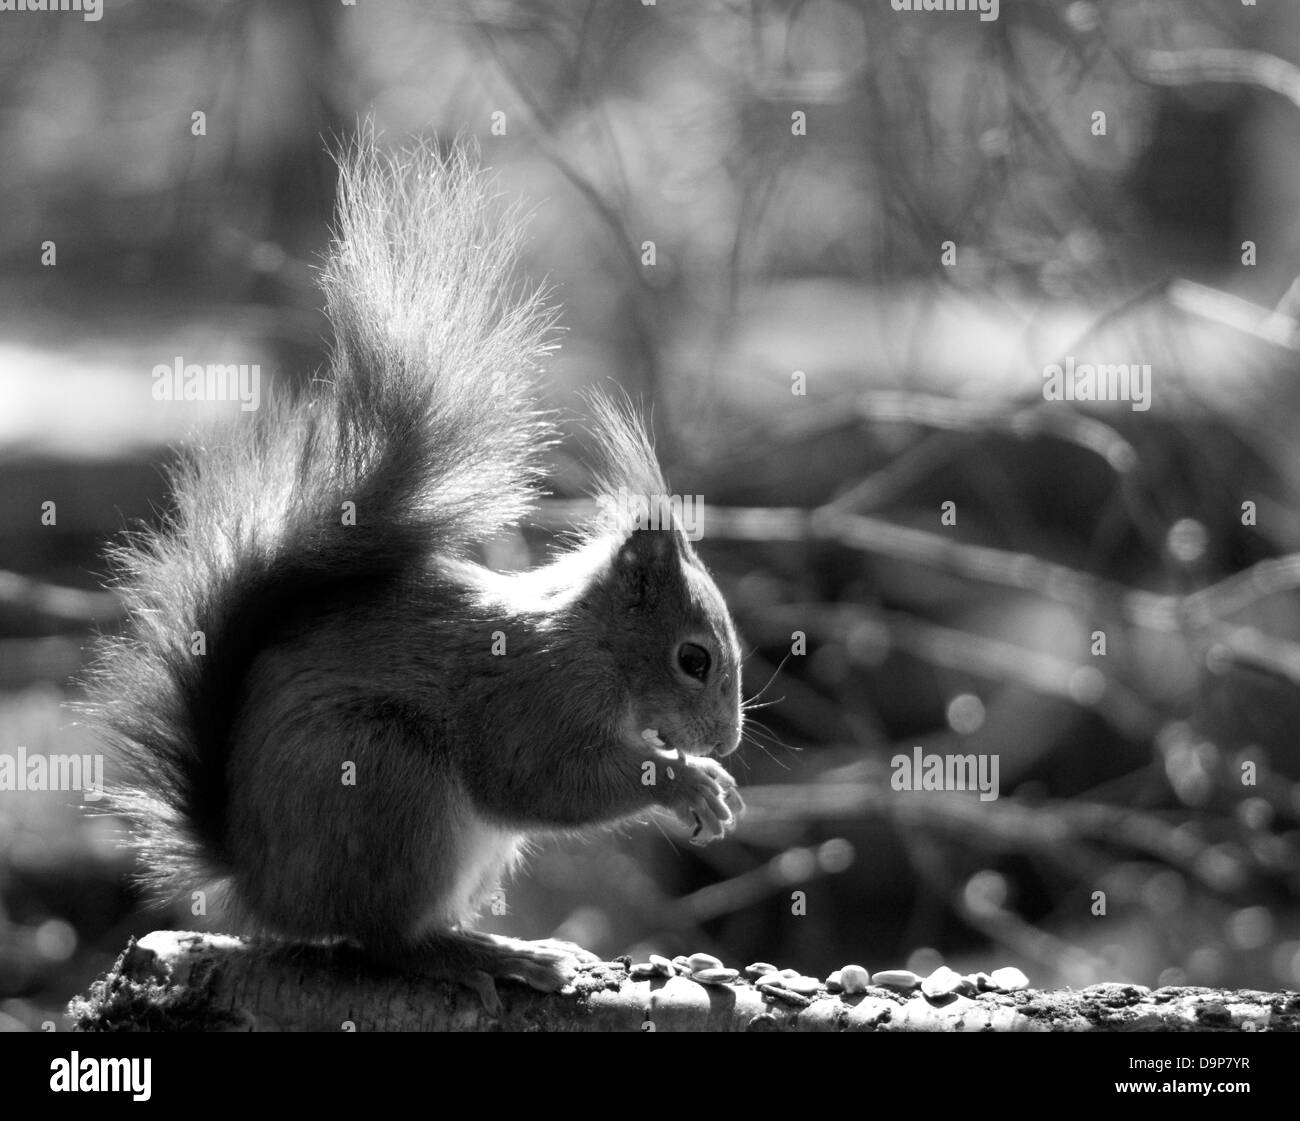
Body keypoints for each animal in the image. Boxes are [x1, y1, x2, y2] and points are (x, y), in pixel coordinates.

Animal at [83, 135, 743, 1003]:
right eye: (693, 658)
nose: (727, 741)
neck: (593, 643)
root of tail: (259, 886)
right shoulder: (531, 700)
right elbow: (542, 781)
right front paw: (687, 783)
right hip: (386, 780)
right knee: (385, 938)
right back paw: (490, 954)